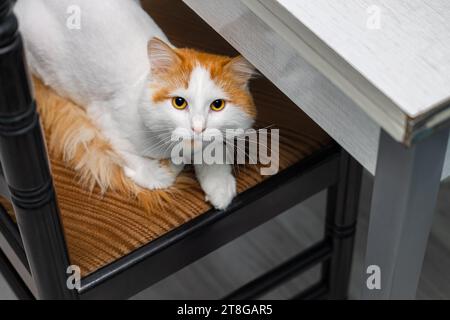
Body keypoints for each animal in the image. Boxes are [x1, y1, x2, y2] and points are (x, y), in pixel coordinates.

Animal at [13, 0, 256, 210]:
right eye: (179, 102)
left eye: (217, 105)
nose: (198, 128)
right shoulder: (105, 119)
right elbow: (140, 162)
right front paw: (164, 170)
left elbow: (213, 147)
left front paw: (219, 182)